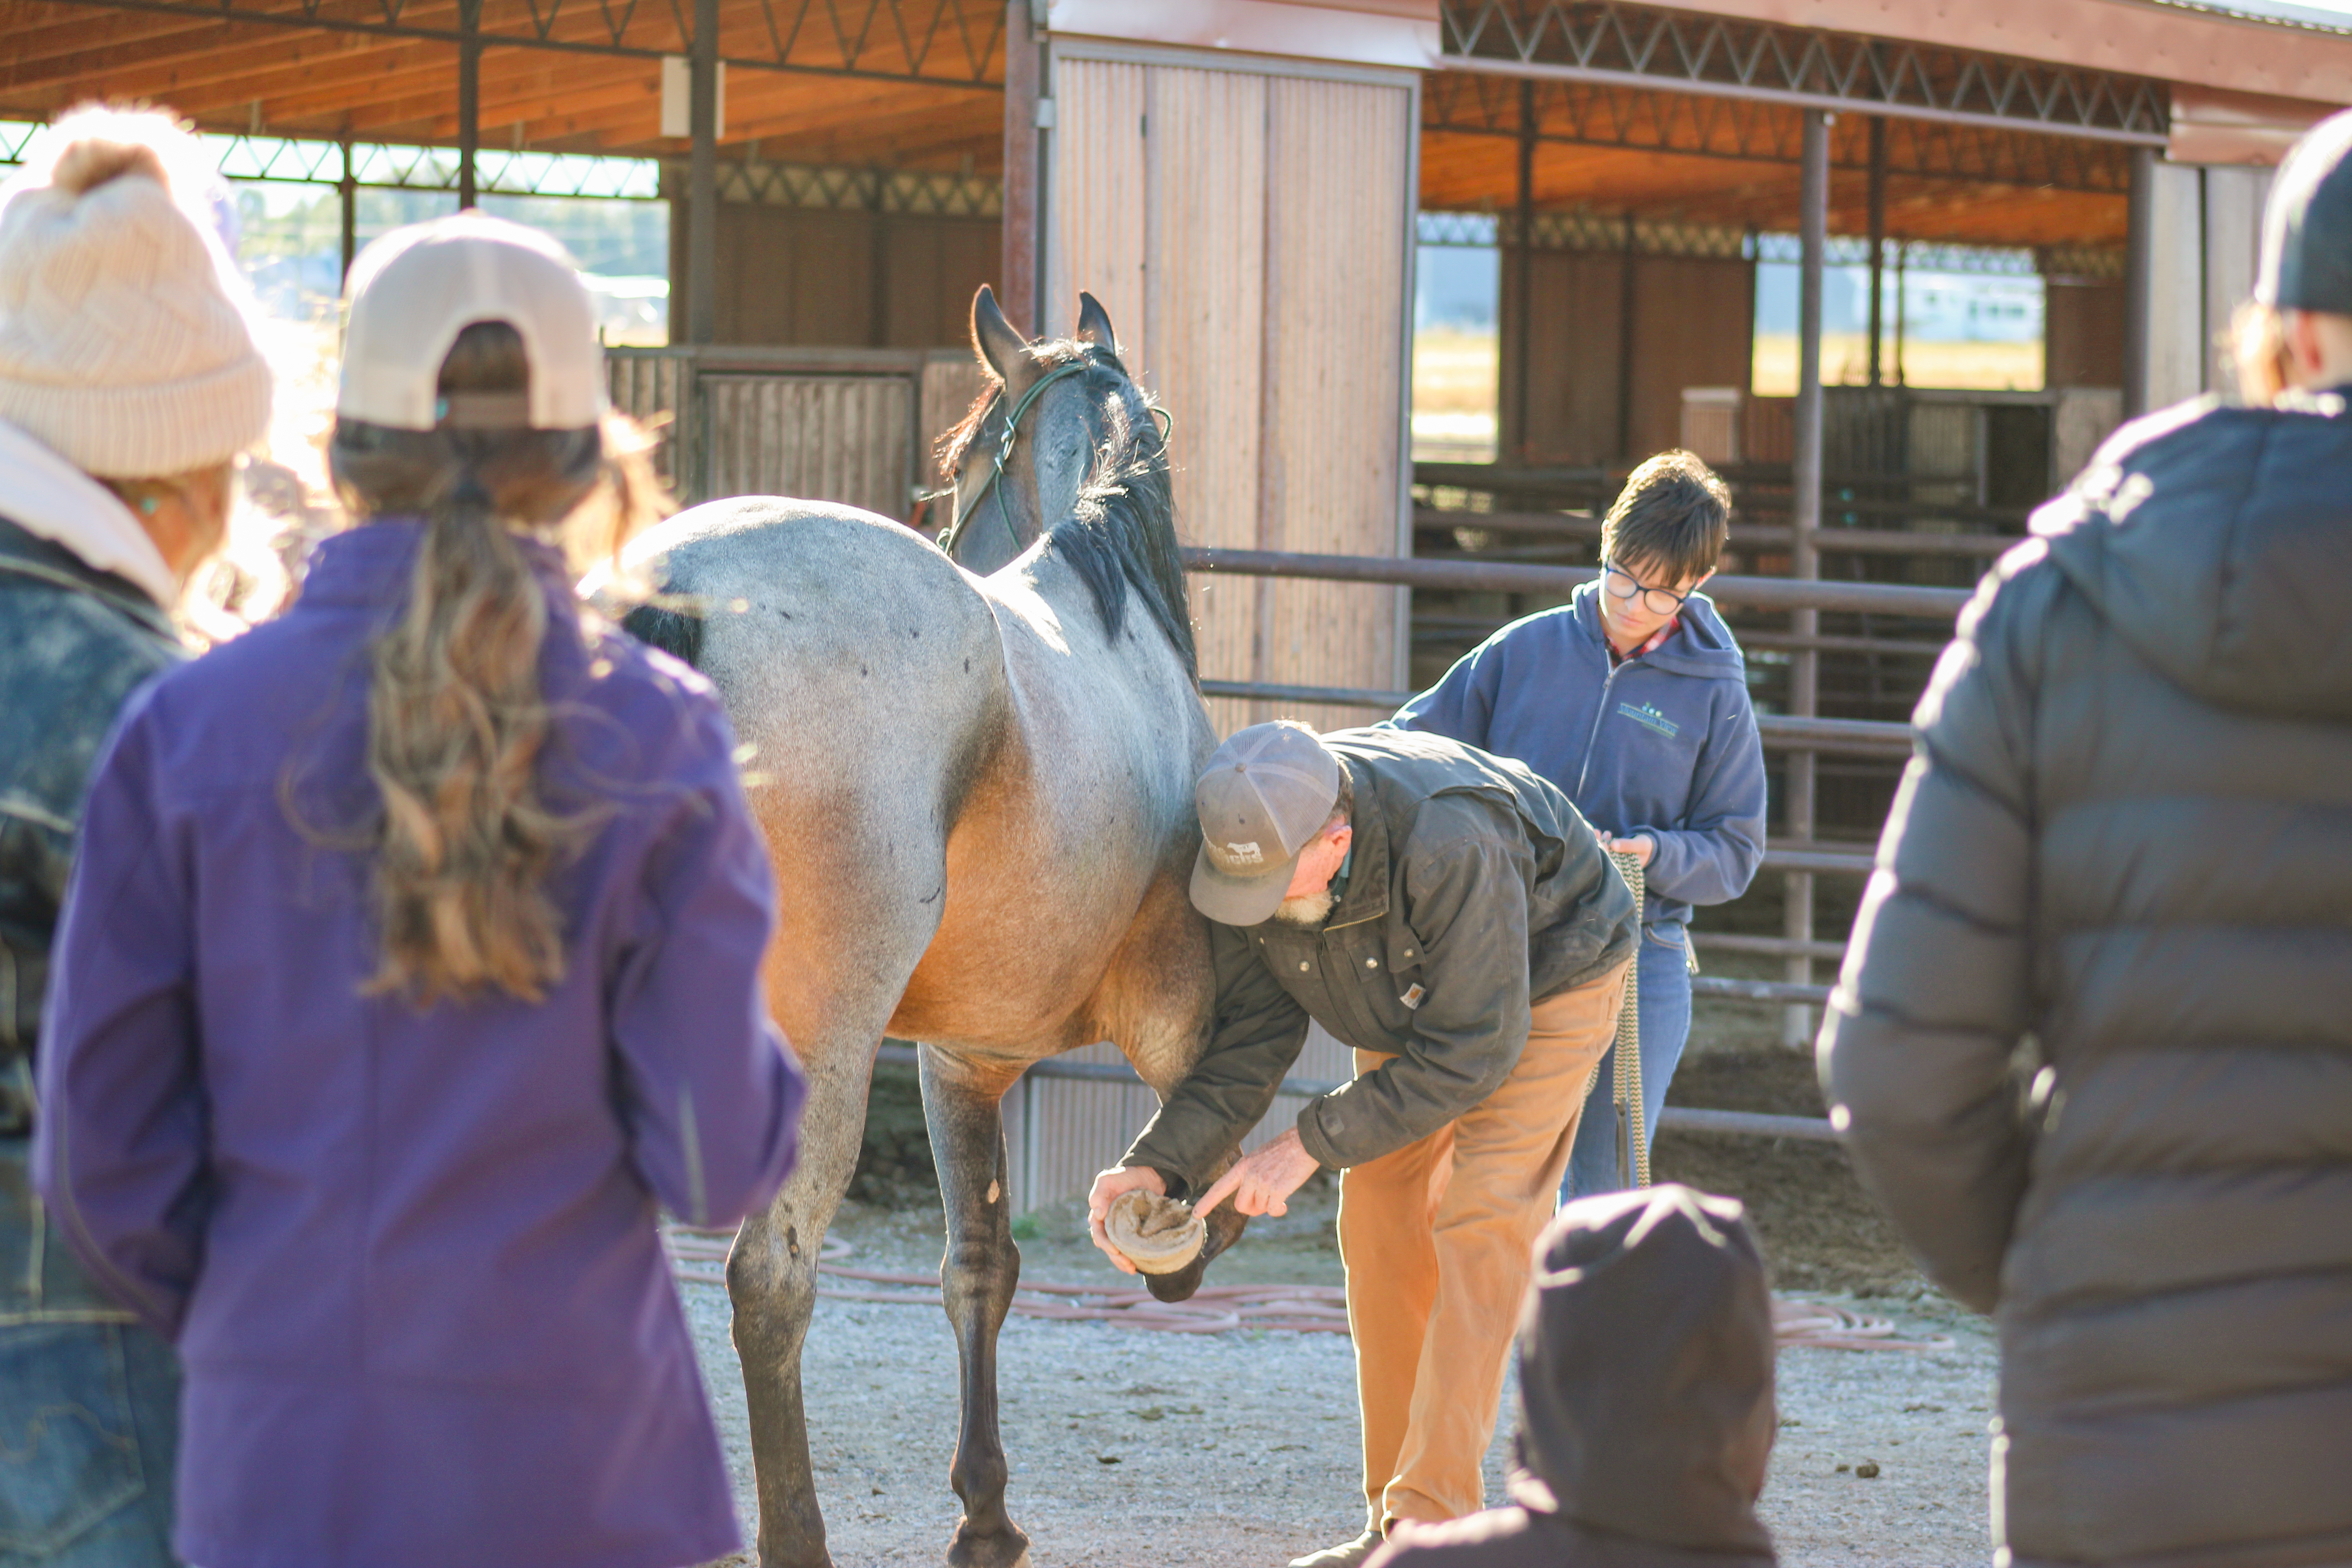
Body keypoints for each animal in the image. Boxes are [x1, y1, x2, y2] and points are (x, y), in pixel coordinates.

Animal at [617, 286, 1250, 1568]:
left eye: (956, 461)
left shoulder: (961, 1060)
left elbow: (978, 1267)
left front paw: (986, 1513)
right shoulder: (1150, 1029)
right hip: (823, 1044)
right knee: (771, 1277)